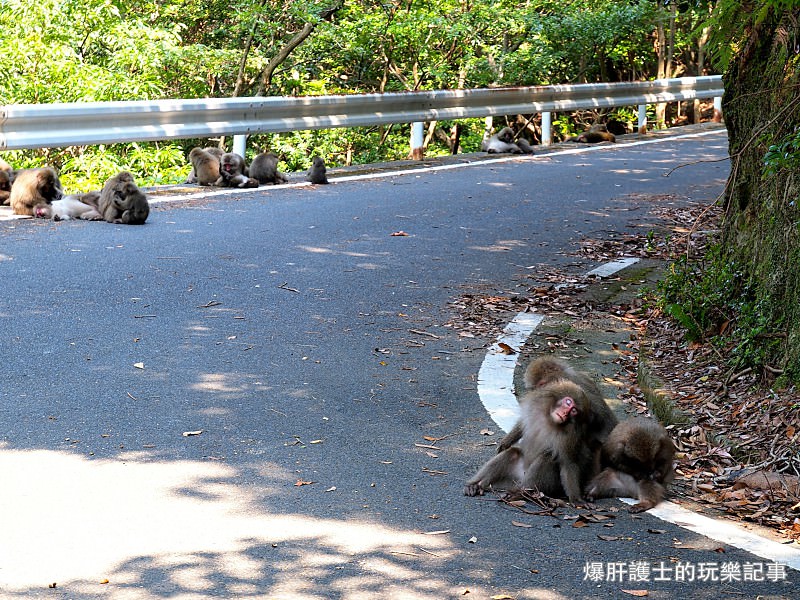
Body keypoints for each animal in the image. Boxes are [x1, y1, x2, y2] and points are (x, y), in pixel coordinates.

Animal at [466, 380, 596, 502]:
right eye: (568, 402)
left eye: (574, 411)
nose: (564, 413)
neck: (550, 420)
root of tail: (521, 478)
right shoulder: (535, 405)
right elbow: (522, 424)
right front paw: (505, 442)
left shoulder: (570, 436)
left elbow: (568, 462)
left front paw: (576, 499)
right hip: (510, 479)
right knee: (512, 453)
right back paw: (476, 485)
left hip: (546, 486)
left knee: (548, 457)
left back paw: (520, 493)